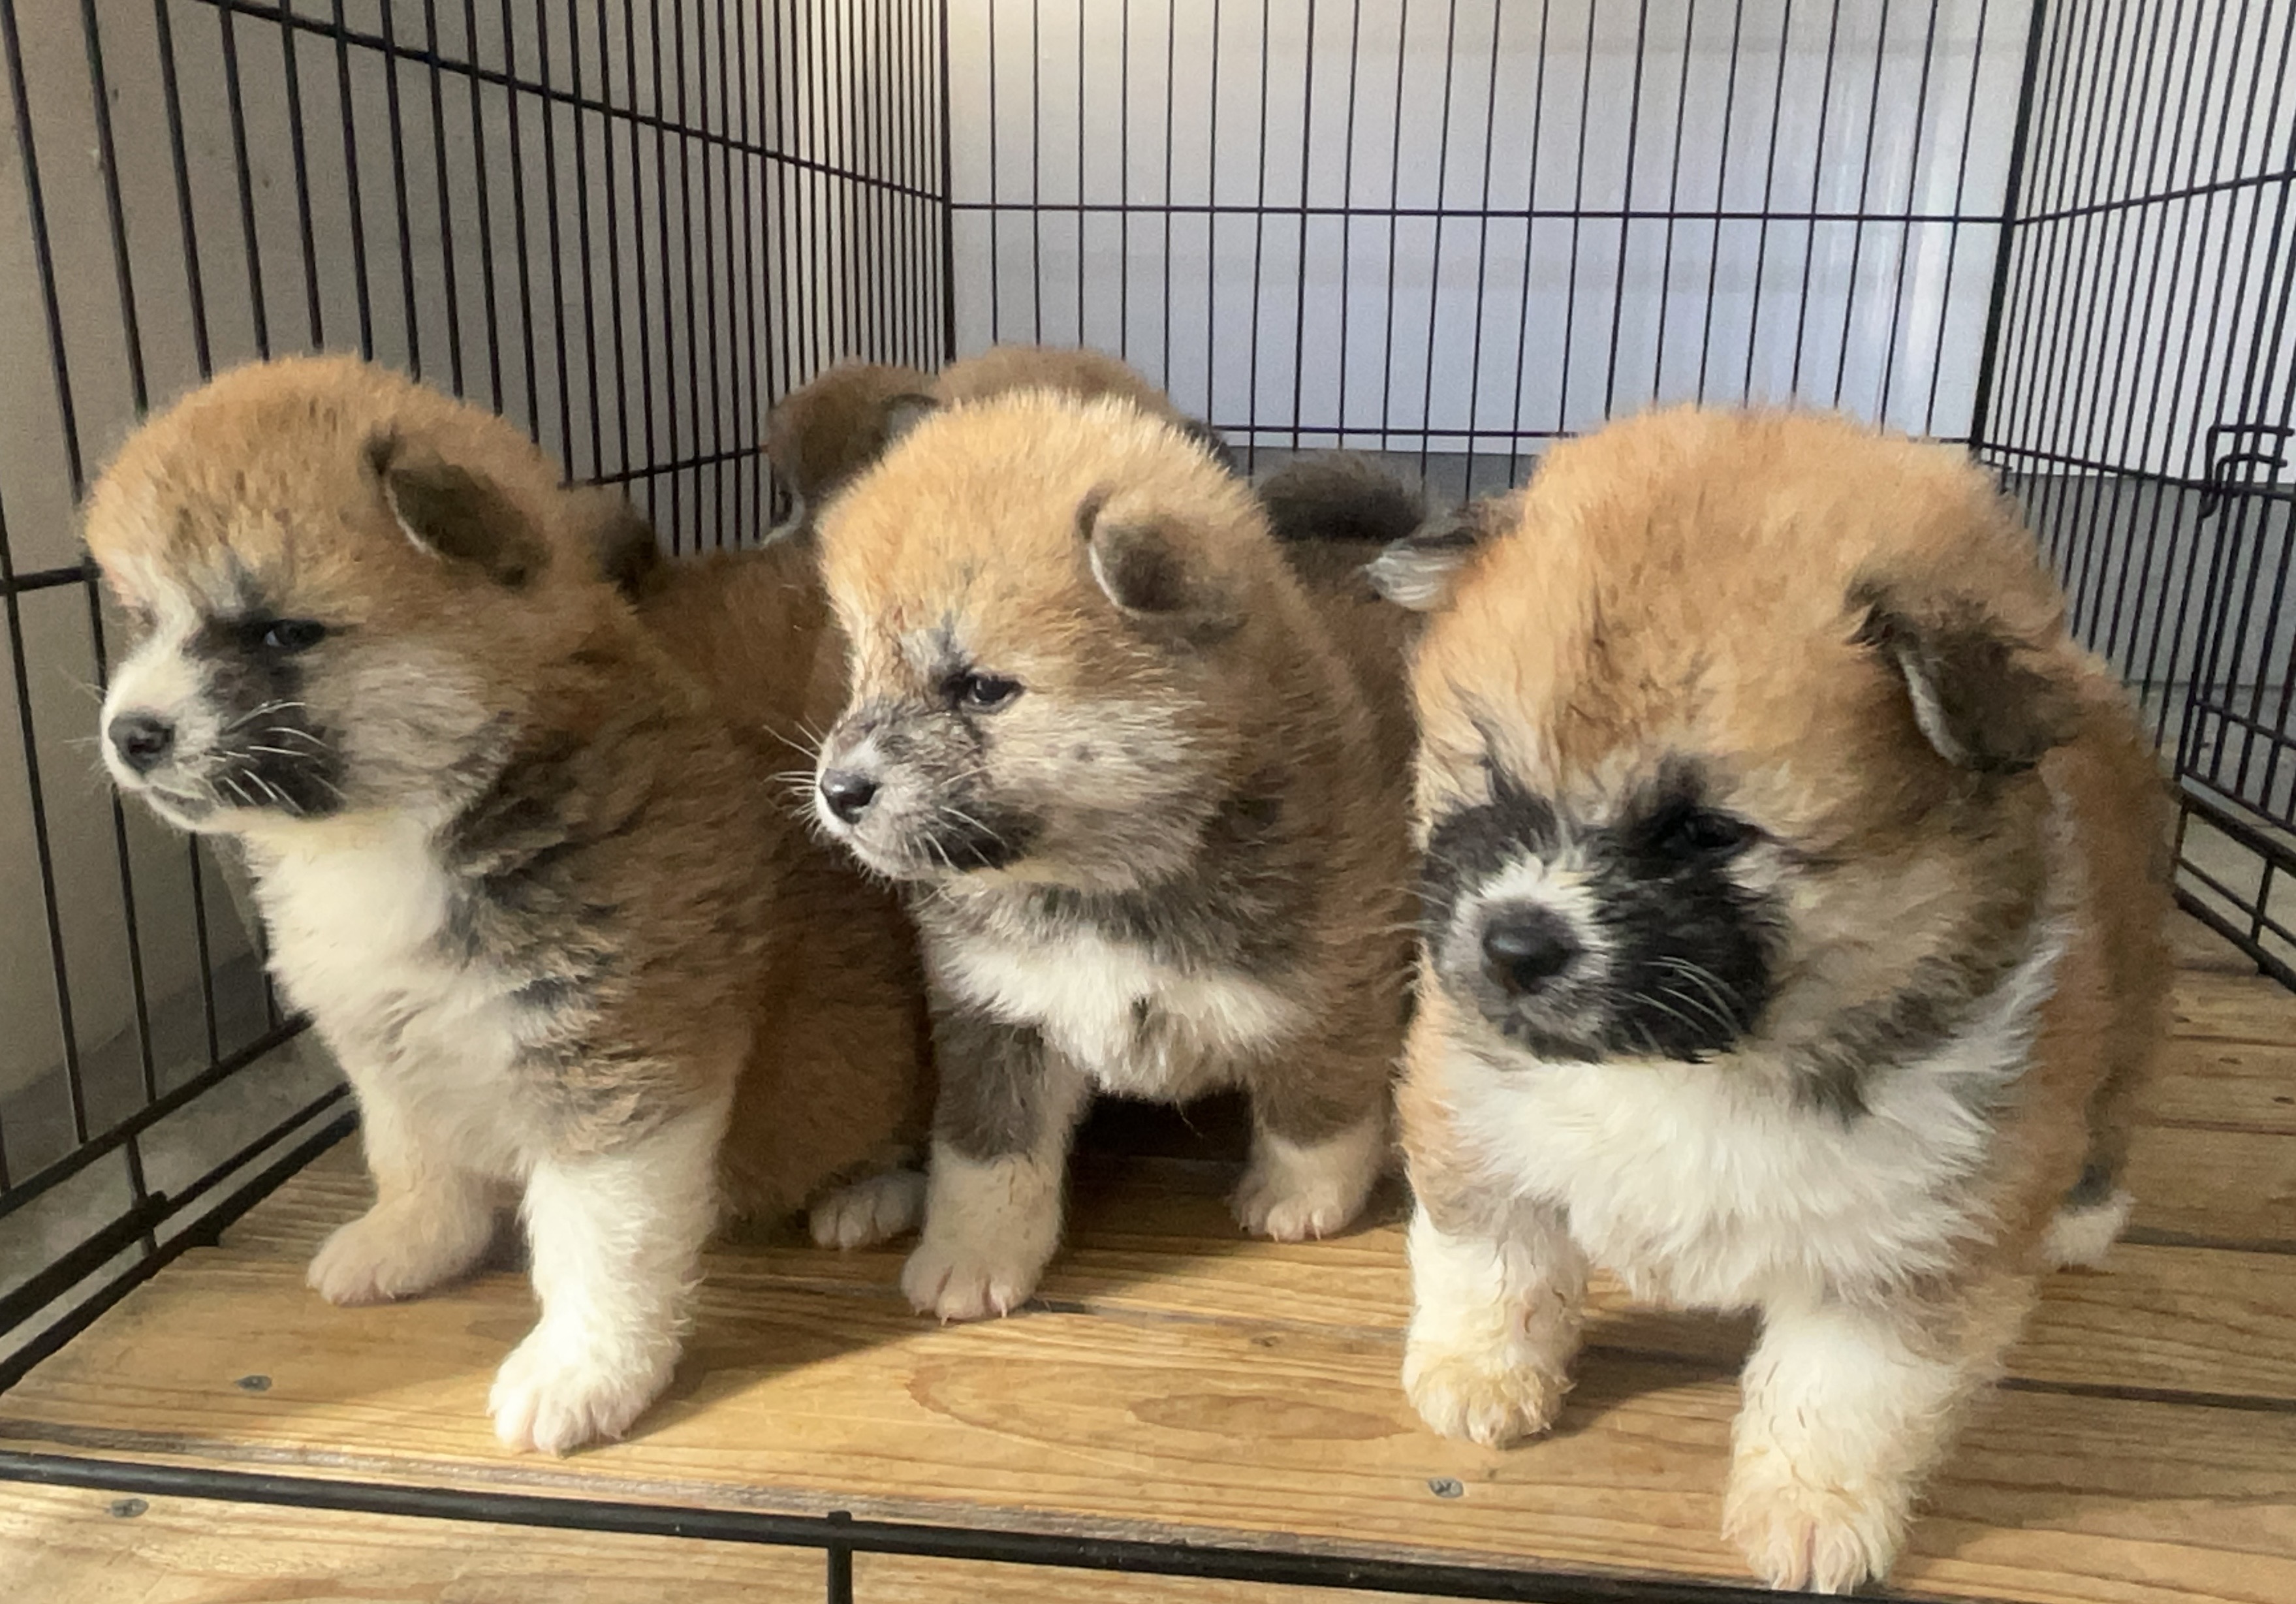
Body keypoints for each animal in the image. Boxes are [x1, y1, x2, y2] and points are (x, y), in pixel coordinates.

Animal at [88, 355, 928, 1452]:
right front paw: (411, 1244)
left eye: (284, 631)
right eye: (145, 619)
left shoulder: (616, 1067)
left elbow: (600, 1244)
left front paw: (582, 1371)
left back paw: (870, 1193)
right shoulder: (388, 1042)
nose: (131, 734)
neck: (401, 828)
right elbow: (413, 1159)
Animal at [808, 392, 1418, 1320]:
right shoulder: (996, 1009)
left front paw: (1303, 1196)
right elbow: (987, 1153)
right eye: (861, 666)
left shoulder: (1335, 971)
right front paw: (970, 1255)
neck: (1105, 881)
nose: (838, 791)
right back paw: (869, 1189)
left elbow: (1319, 1105)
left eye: (982, 689)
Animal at [1372, 408, 2171, 1593]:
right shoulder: (1476, 1109)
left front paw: (1811, 1514)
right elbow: (1494, 1260)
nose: (1514, 944)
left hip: (2128, 997)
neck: (1699, 1063)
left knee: (2115, 1096)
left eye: (1707, 833)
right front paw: (1481, 1377)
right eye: (1496, 785)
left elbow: (1842, 1393)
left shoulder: (1911, 1240)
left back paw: (2082, 1212)